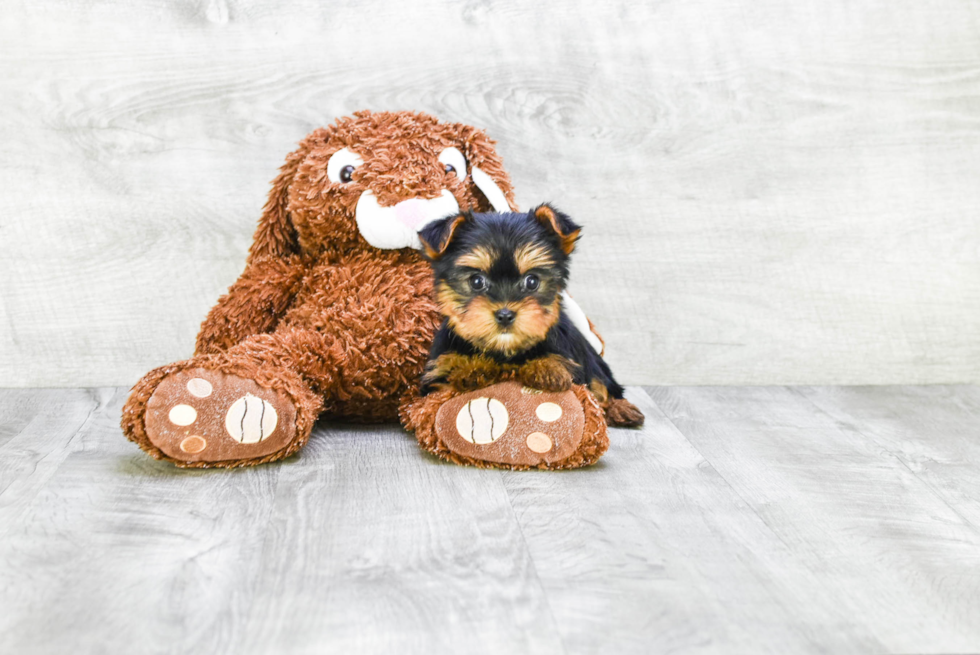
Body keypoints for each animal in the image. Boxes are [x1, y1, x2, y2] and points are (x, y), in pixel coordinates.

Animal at [420, 206, 644, 430]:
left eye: (532, 281)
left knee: (602, 381)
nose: (505, 315)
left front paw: (547, 368)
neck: (504, 352)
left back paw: (621, 408)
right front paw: (471, 368)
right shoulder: (438, 371)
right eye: (476, 281)